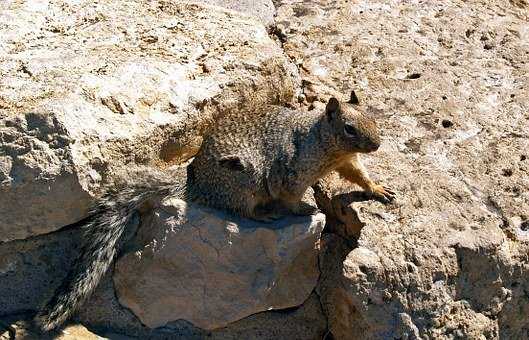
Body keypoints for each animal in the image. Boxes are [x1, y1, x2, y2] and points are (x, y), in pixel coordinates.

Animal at [36, 91, 392, 330]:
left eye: (374, 118)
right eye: (349, 128)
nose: (376, 145)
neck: (323, 143)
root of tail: (197, 184)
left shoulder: (346, 162)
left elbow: (358, 175)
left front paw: (378, 189)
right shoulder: (291, 173)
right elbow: (290, 196)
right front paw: (304, 208)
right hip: (246, 179)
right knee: (240, 210)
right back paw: (265, 214)